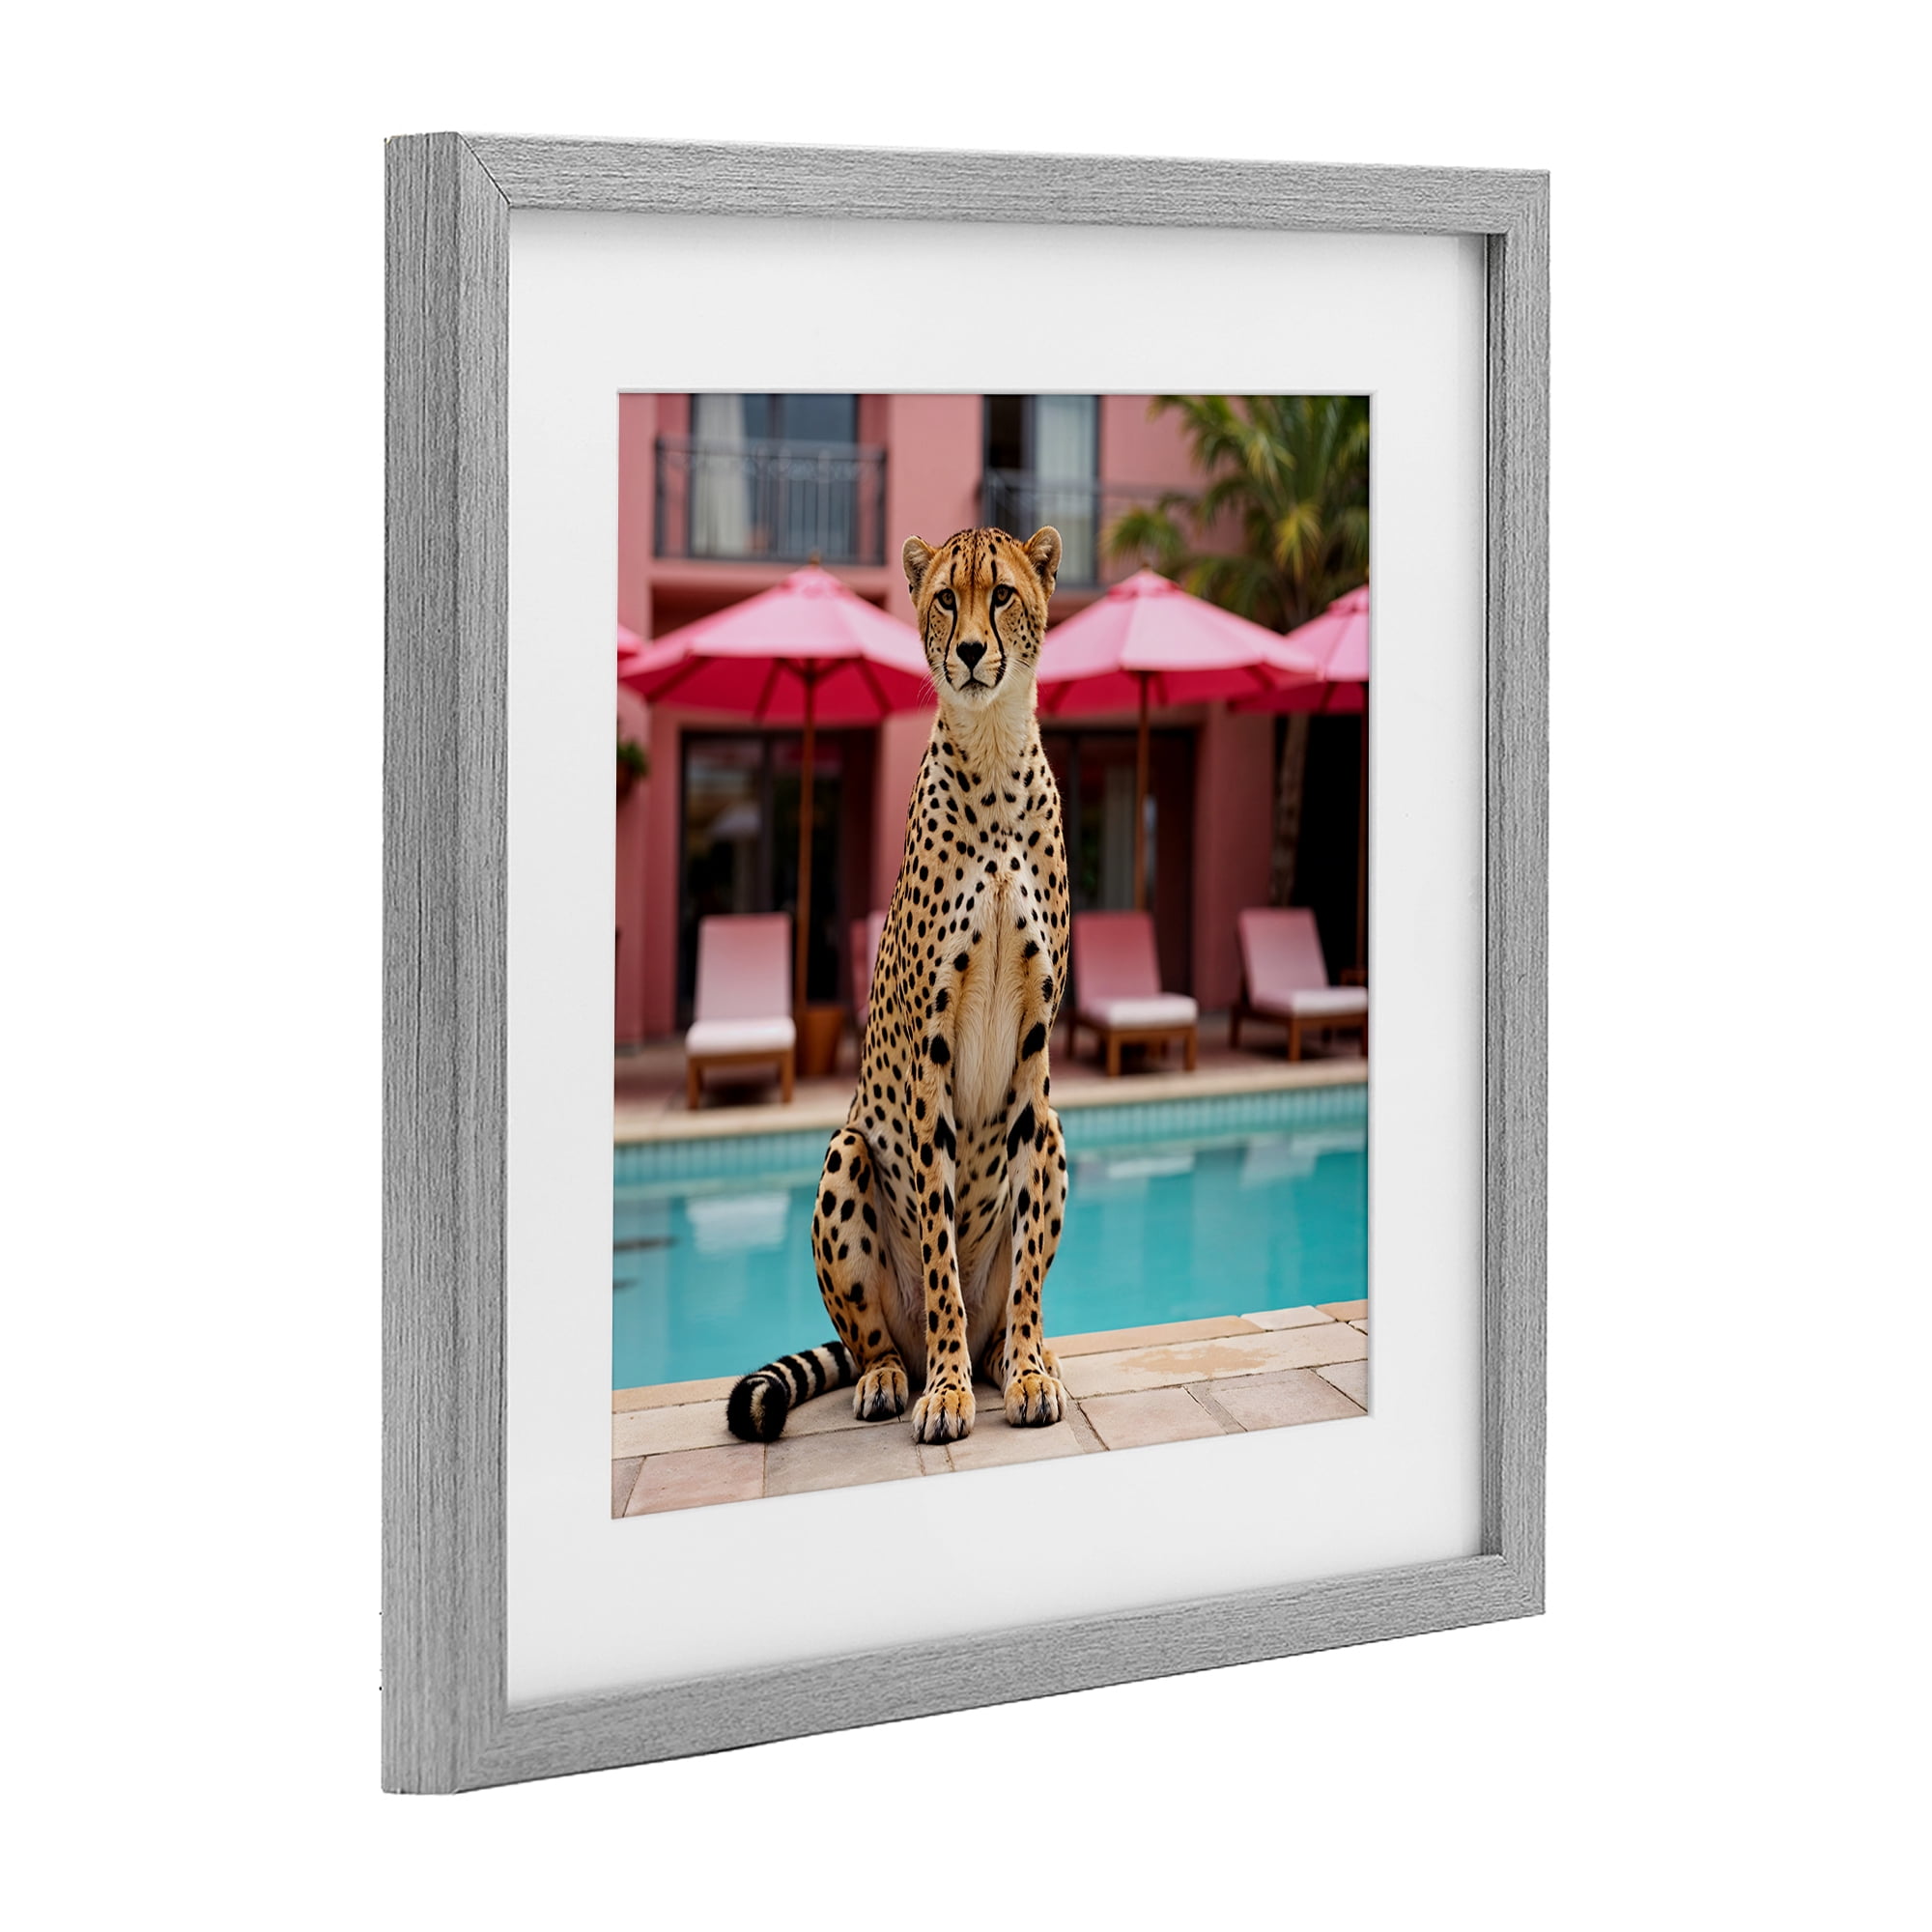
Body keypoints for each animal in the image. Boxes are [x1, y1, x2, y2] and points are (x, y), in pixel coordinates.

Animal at [726, 525, 1073, 1448]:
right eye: (947, 598)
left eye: (1003, 595)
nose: (972, 652)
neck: (992, 753)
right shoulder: (930, 1051)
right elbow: (940, 1252)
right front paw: (947, 1393)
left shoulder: (1036, 1052)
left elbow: (1026, 1258)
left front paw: (1028, 1370)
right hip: (846, 1152)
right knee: (875, 1337)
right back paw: (898, 1374)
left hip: (1056, 1133)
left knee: (1005, 1298)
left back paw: (1015, 1354)